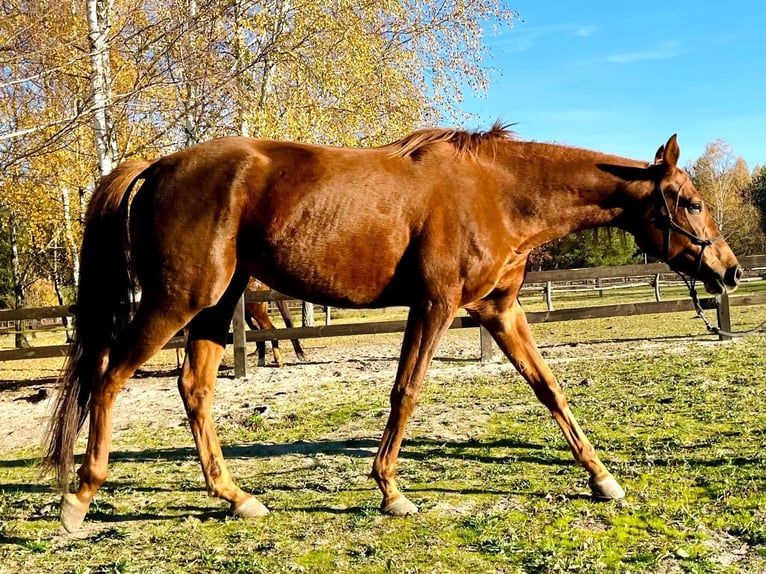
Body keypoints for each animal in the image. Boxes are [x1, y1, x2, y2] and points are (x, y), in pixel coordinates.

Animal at [46, 124, 744, 532]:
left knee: (194, 390)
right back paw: (79, 498)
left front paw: (602, 479)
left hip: (218, 307)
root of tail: (157, 166)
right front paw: (390, 490)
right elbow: (405, 392)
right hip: (177, 300)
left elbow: (550, 389)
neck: (498, 191)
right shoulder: (435, 305)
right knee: (110, 376)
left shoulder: (501, 310)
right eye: (690, 203)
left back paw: (236, 496)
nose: (730, 271)